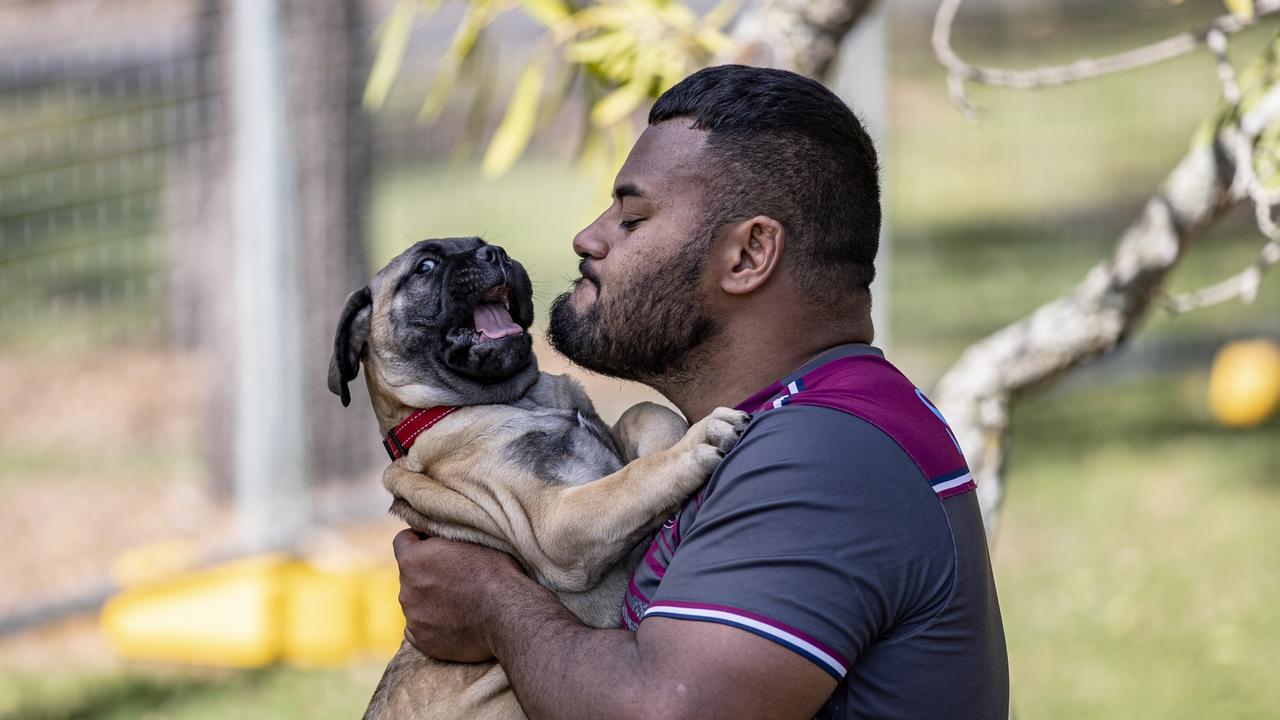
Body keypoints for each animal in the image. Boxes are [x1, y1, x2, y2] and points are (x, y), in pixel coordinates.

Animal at [330, 238, 747, 712]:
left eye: (481, 244)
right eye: (426, 266)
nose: (494, 253)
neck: (520, 398)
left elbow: (645, 413)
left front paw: (672, 440)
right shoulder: (556, 524)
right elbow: (632, 480)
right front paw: (697, 441)